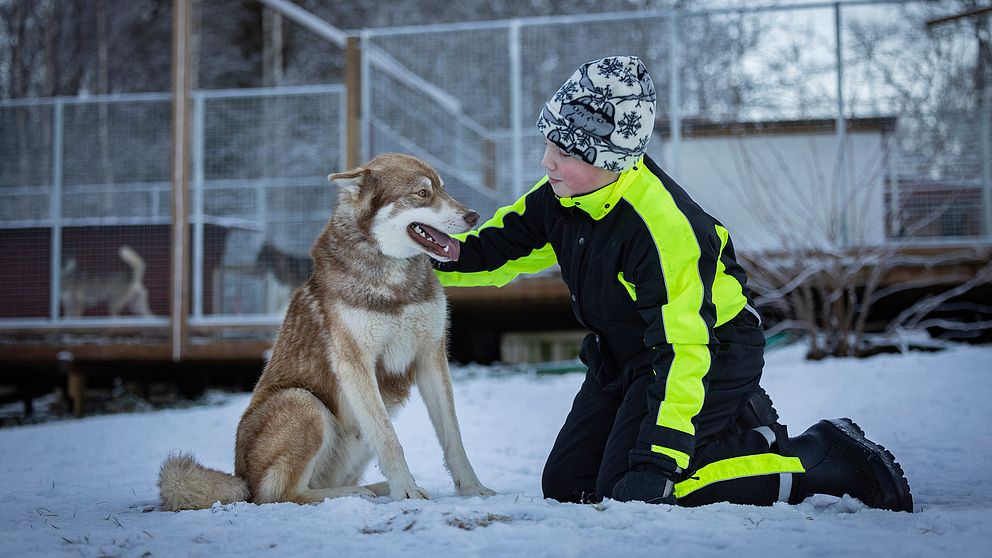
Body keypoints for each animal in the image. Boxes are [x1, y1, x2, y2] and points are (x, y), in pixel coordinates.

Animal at [158, 153, 492, 512]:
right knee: (279, 496)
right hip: (304, 402)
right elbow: (390, 440)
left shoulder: (431, 358)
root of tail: (241, 479)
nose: (474, 215)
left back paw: (374, 489)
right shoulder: (355, 365)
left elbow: (453, 439)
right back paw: (357, 493)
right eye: (422, 193)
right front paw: (407, 492)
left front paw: (473, 488)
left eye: (444, 189)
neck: (393, 281)